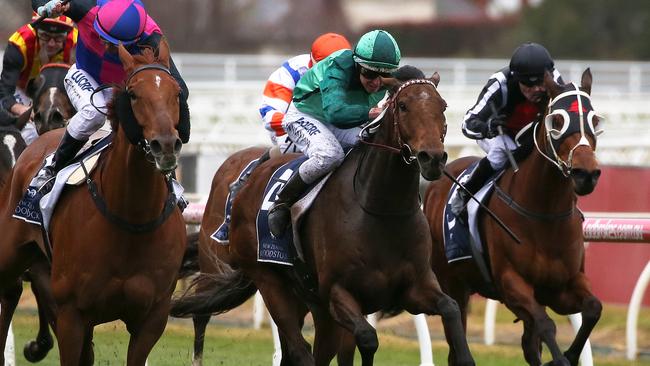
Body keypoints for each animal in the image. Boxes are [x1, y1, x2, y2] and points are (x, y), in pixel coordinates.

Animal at [0, 41, 187, 364]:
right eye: (133, 94)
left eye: (176, 93)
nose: (165, 145)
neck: (132, 219)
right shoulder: (71, 313)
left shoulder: (152, 319)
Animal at [422, 68, 600, 366]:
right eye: (557, 120)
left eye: (595, 120)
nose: (586, 174)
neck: (545, 214)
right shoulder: (511, 283)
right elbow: (545, 324)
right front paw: (559, 359)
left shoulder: (562, 286)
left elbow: (593, 309)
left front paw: (568, 355)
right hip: (451, 282)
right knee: (456, 339)